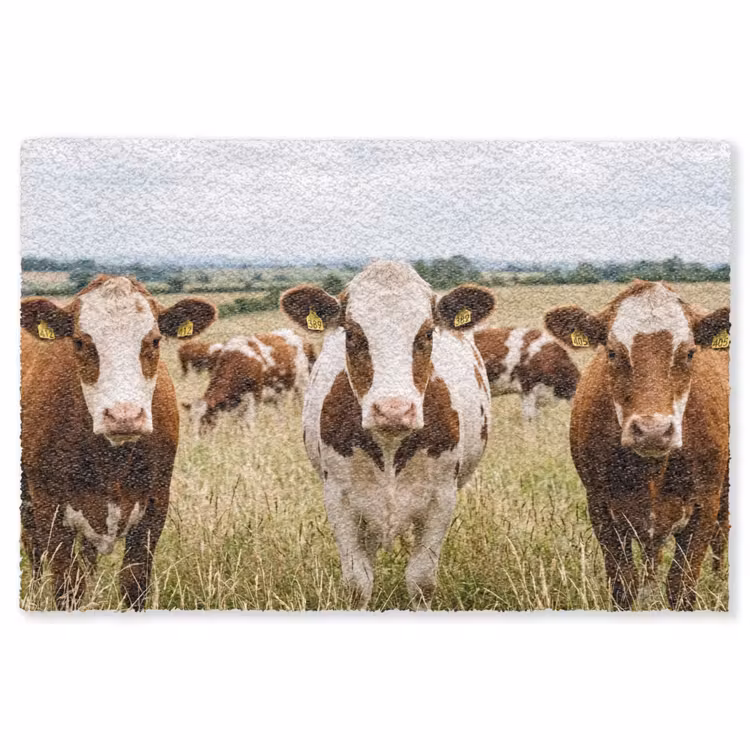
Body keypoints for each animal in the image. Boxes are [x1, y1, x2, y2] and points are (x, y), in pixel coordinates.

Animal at [21, 275, 217, 609]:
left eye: (154, 341)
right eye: (80, 342)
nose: (124, 415)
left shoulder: (155, 505)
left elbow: (133, 583)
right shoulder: (49, 508)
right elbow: (65, 585)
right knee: (33, 552)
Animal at [281, 261, 495, 609]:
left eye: (427, 333)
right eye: (353, 334)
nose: (393, 409)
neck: (389, 443)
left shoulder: (442, 498)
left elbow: (421, 579)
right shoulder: (339, 498)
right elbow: (358, 582)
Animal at [544, 280, 730, 610]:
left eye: (690, 353)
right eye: (612, 352)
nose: (653, 431)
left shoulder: (705, 505)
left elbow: (681, 587)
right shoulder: (601, 508)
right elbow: (623, 585)